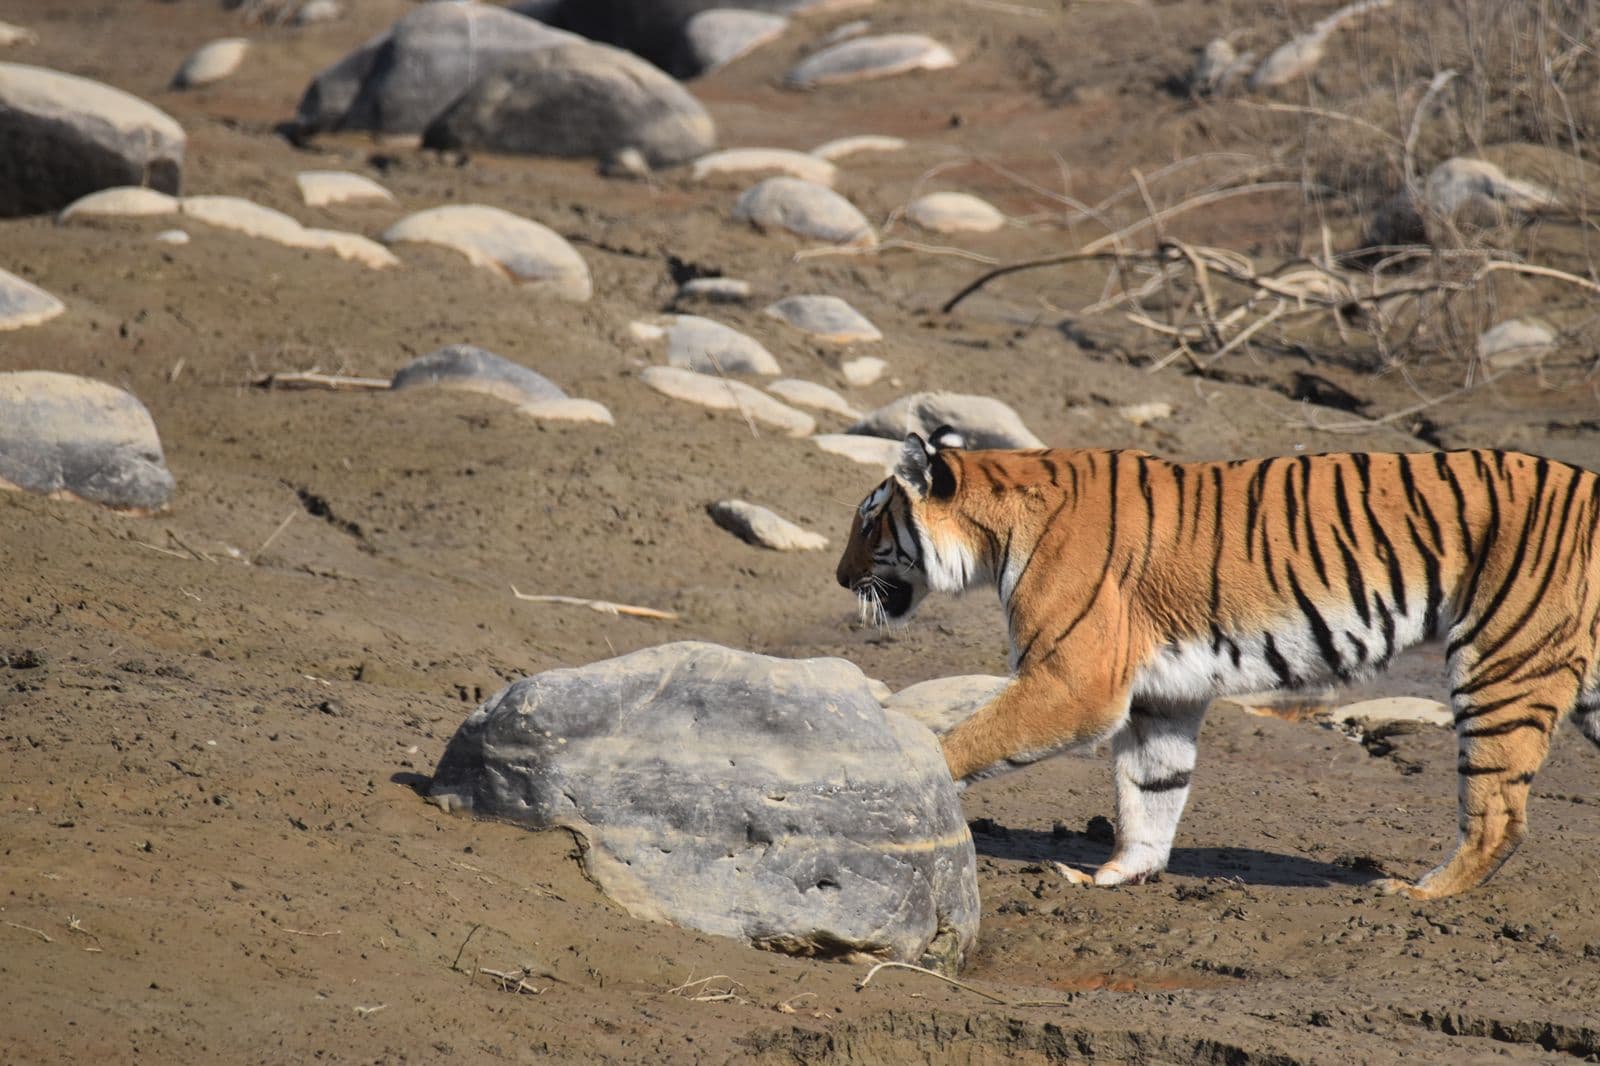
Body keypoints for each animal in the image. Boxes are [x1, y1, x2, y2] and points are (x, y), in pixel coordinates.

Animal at [835, 426, 1600, 899]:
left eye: (869, 522)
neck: (996, 531)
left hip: (1501, 665)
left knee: (1499, 813)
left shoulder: (1075, 680)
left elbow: (967, 740)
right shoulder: (1162, 694)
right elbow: (1152, 791)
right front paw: (1113, 875)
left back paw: (1416, 891)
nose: (841, 579)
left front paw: (908, 788)